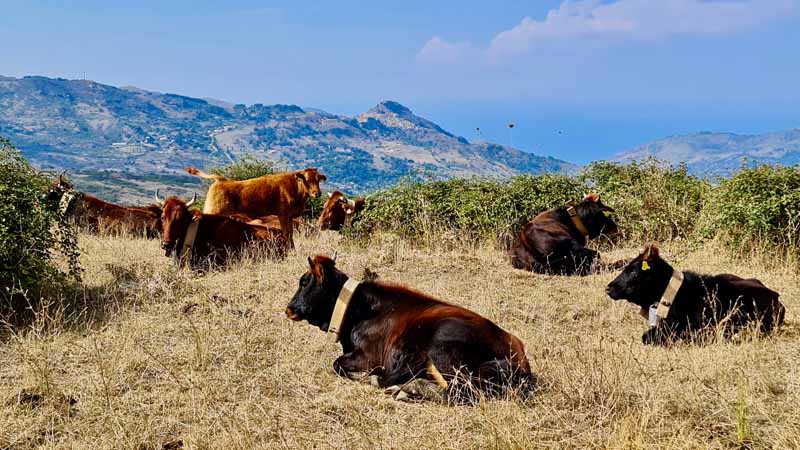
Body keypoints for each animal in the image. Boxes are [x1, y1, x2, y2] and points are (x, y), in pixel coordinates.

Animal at [184, 166, 324, 246]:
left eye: (318, 180)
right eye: (307, 180)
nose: (317, 193)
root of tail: (222, 180)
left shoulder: (288, 217)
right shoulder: (284, 215)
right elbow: (287, 233)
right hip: (213, 210)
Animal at [284, 255, 536, 402]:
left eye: (304, 282)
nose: (289, 309)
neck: (360, 309)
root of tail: (520, 357)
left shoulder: (370, 357)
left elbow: (337, 364)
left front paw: (368, 378)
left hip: (444, 348)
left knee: (461, 393)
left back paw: (408, 388)